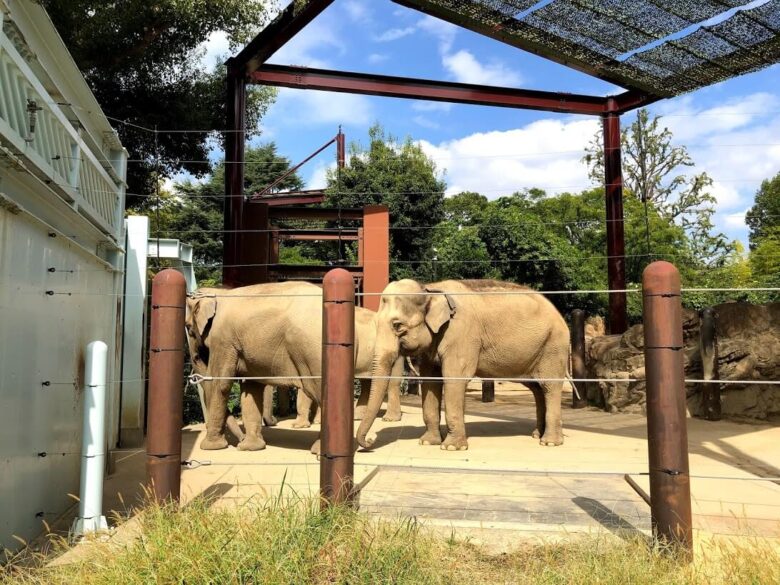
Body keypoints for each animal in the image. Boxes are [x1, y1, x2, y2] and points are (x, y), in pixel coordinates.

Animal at [183, 282, 402, 452]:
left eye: (188, 328)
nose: (239, 440)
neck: (220, 292)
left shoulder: (224, 339)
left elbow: (220, 383)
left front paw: (212, 447)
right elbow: (251, 389)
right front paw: (251, 447)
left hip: (311, 351)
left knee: (319, 391)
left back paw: (321, 451)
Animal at [356, 278, 568, 452]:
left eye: (398, 326)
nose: (370, 441)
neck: (430, 289)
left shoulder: (461, 334)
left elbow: (454, 380)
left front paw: (451, 447)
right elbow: (431, 382)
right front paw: (427, 442)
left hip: (553, 347)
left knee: (550, 387)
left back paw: (549, 443)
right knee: (537, 389)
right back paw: (536, 435)